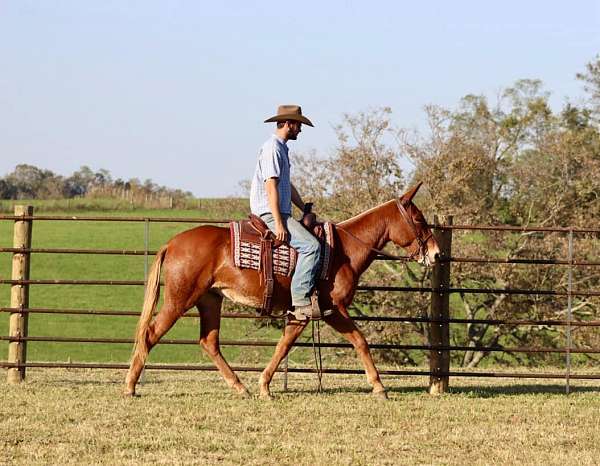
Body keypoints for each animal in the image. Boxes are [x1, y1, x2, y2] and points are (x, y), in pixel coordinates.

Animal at [124, 184, 438, 398]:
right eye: (419, 220)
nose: (435, 254)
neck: (343, 250)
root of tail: (172, 243)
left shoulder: (300, 314)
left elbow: (284, 345)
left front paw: (264, 385)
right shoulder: (333, 309)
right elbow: (360, 340)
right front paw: (379, 387)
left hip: (210, 300)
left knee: (209, 342)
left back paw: (240, 387)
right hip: (180, 299)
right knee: (150, 334)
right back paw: (130, 386)